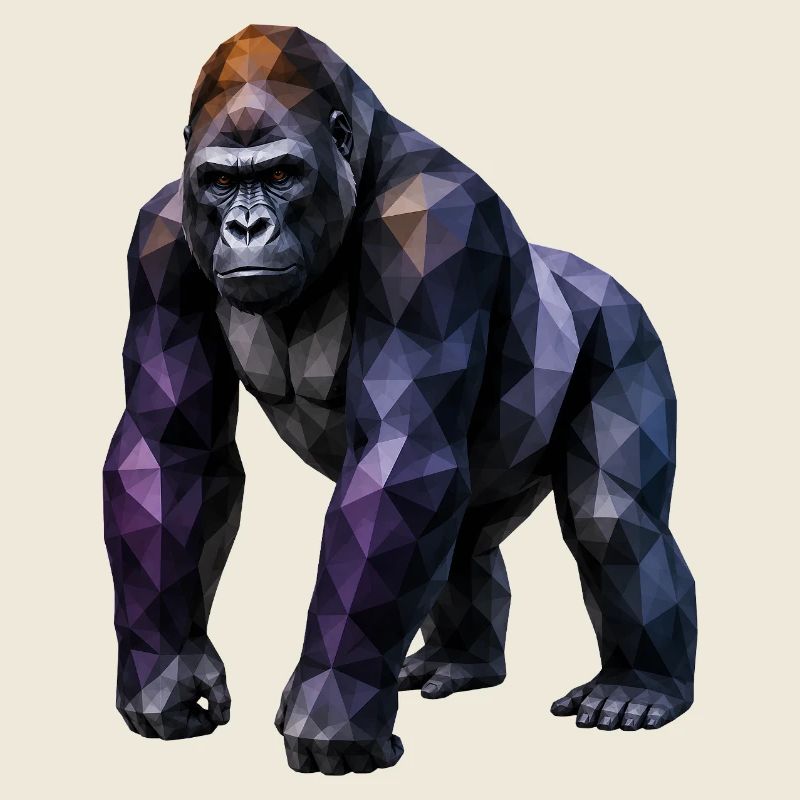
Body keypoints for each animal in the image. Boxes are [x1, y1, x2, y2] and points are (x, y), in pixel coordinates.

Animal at [103, 25, 697, 775]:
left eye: (280, 176)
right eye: (221, 181)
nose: (245, 228)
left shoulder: (434, 227)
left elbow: (402, 456)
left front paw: (332, 711)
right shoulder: (156, 243)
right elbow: (170, 452)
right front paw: (167, 674)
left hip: (626, 328)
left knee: (612, 519)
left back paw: (641, 686)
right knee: (464, 536)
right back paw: (461, 659)